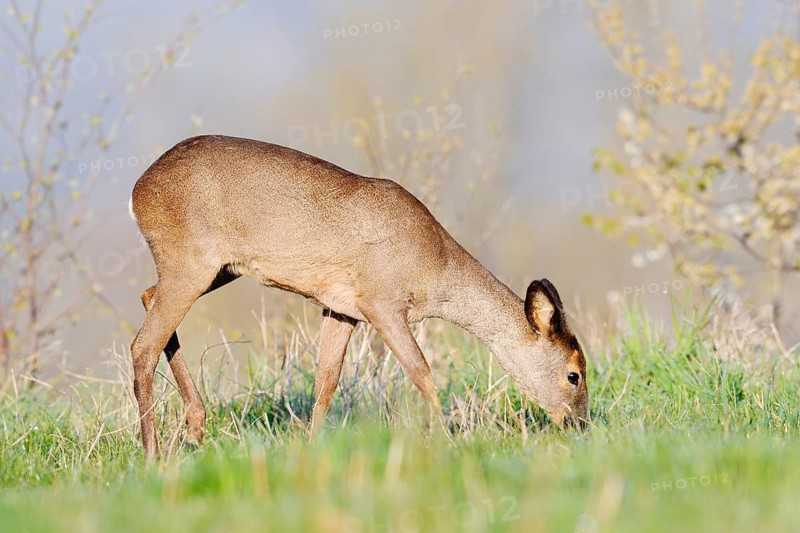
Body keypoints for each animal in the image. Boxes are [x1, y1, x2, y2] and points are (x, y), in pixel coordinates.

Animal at [128, 135, 589, 459]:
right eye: (575, 374)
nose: (581, 425)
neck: (434, 269)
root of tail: (137, 191)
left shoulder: (340, 308)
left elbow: (326, 381)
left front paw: (312, 448)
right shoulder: (381, 301)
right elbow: (421, 371)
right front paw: (446, 441)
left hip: (219, 267)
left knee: (148, 297)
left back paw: (194, 428)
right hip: (190, 258)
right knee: (142, 344)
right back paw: (153, 456)